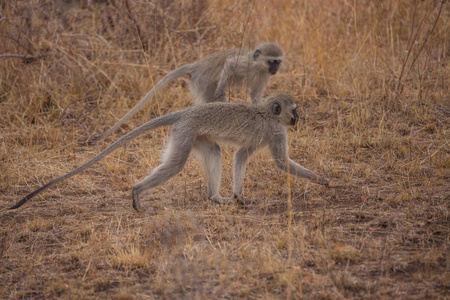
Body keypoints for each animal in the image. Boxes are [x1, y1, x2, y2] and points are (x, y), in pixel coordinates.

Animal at [9, 92, 326, 212]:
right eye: (294, 111)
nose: (298, 119)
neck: (268, 112)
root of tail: (185, 112)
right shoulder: (277, 132)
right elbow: (282, 162)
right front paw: (323, 180)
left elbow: (240, 157)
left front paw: (237, 196)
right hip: (185, 133)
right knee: (175, 165)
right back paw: (137, 192)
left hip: (194, 136)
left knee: (214, 152)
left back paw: (215, 197)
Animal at [89, 42, 284, 144]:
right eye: (271, 61)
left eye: (278, 62)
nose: (275, 69)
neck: (259, 68)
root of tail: (195, 66)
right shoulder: (246, 65)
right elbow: (229, 64)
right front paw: (222, 90)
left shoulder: (264, 77)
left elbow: (256, 98)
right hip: (203, 83)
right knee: (212, 97)